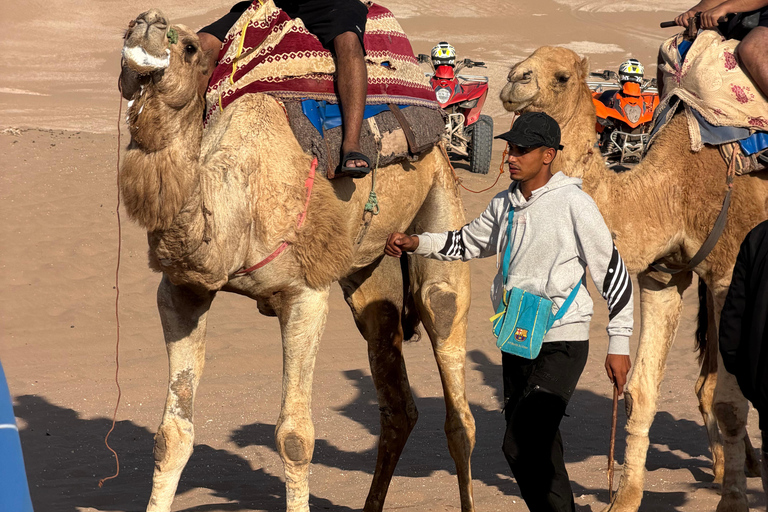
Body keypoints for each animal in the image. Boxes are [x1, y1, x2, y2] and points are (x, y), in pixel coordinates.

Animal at [117, 10, 476, 512]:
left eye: (189, 48)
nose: (144, 20)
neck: (239, 198)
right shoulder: (181, 291)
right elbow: (172, 435)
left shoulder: (305, 294)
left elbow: (294, 437)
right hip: (371, 271)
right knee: (395, 395)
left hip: (442, 201)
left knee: (453, 376)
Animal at [500, 46, 767, 512]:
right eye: (524, 61)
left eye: (562, 76)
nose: (515, 80)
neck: (672, 191)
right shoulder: (661, 278)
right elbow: (640, 391)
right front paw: (625, 497)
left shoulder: (728, 275)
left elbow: (732, 404)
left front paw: (734, 502)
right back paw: (735, 466)